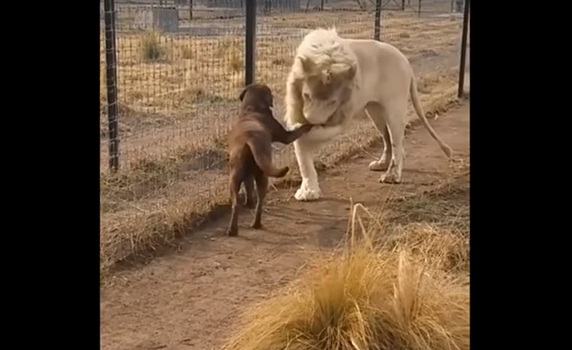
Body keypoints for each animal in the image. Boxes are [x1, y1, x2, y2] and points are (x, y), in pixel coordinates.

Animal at [226, 83, 312, 237]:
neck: (252, 109)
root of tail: (249, 140)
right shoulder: (285, 136)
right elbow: (297, 132)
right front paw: (308, 124)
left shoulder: (247, 176)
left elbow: (248, 188)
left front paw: (249, 202)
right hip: (263, 176)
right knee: (260, 201)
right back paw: (256, 224)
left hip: (234, 178)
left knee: (235, 204)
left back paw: (232, 229)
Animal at [284, 27, 454, 201]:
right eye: (307, 96)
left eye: (332, 102)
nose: (310, 120)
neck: (327, 57)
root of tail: (405, 61)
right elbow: (303, 157)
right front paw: (308, 191)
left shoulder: (343, 116)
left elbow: (309, 138)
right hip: (375, 113)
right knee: (387, 139)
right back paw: (382, 164)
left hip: (395, 110)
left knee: (396, 142)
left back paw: (392, 175)